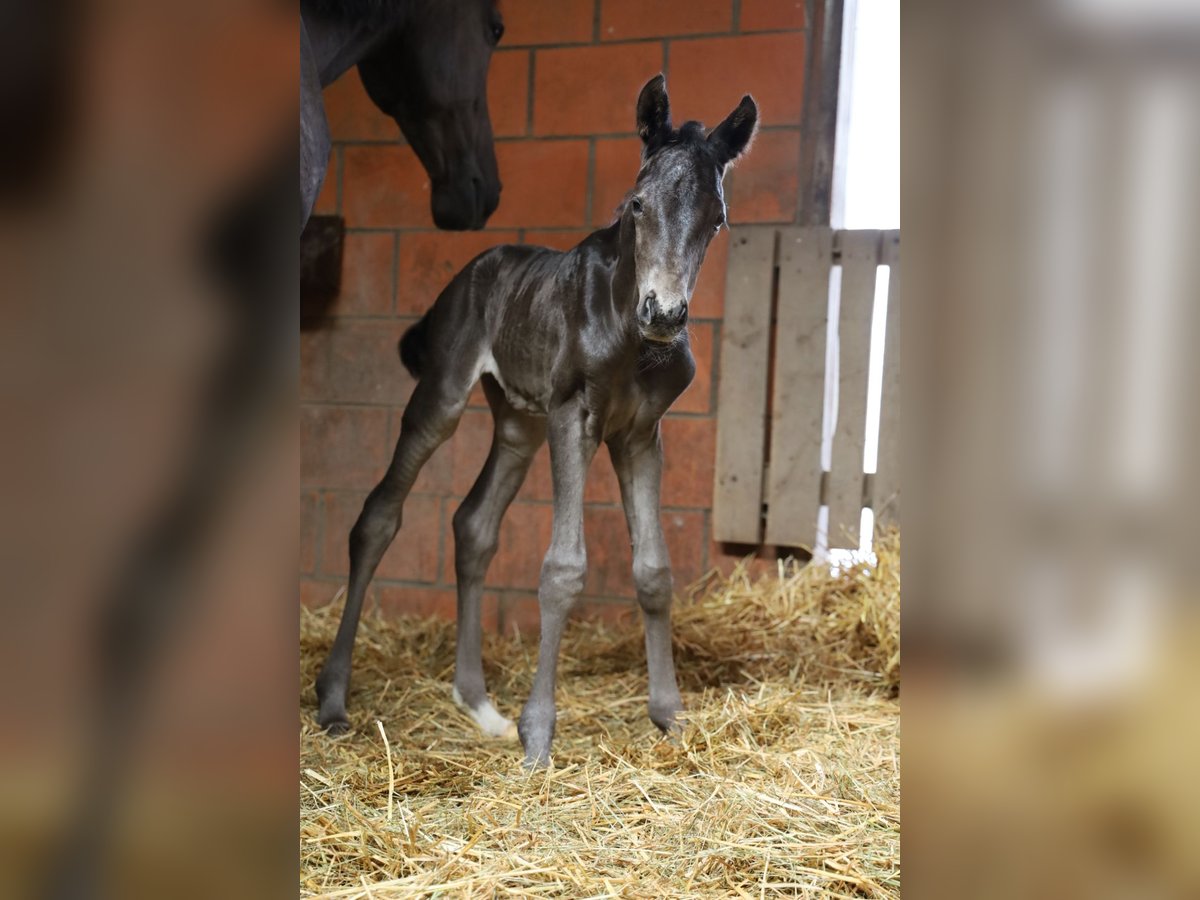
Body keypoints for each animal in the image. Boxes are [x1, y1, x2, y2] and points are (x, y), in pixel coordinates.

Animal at [314, 77, 753, 768]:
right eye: (636, 205)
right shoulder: (574, 415)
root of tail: (469, 271)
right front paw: (539, 735)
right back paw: (333, 700)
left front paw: (671, 717)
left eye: (718, 219)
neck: (628, 331)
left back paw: (478, 705)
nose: (664, 313)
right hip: (444, 398)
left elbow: (654, 570)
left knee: (473, 524)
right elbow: (562, 569)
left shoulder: (640, 434)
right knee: (379, 515)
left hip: (518, 421)